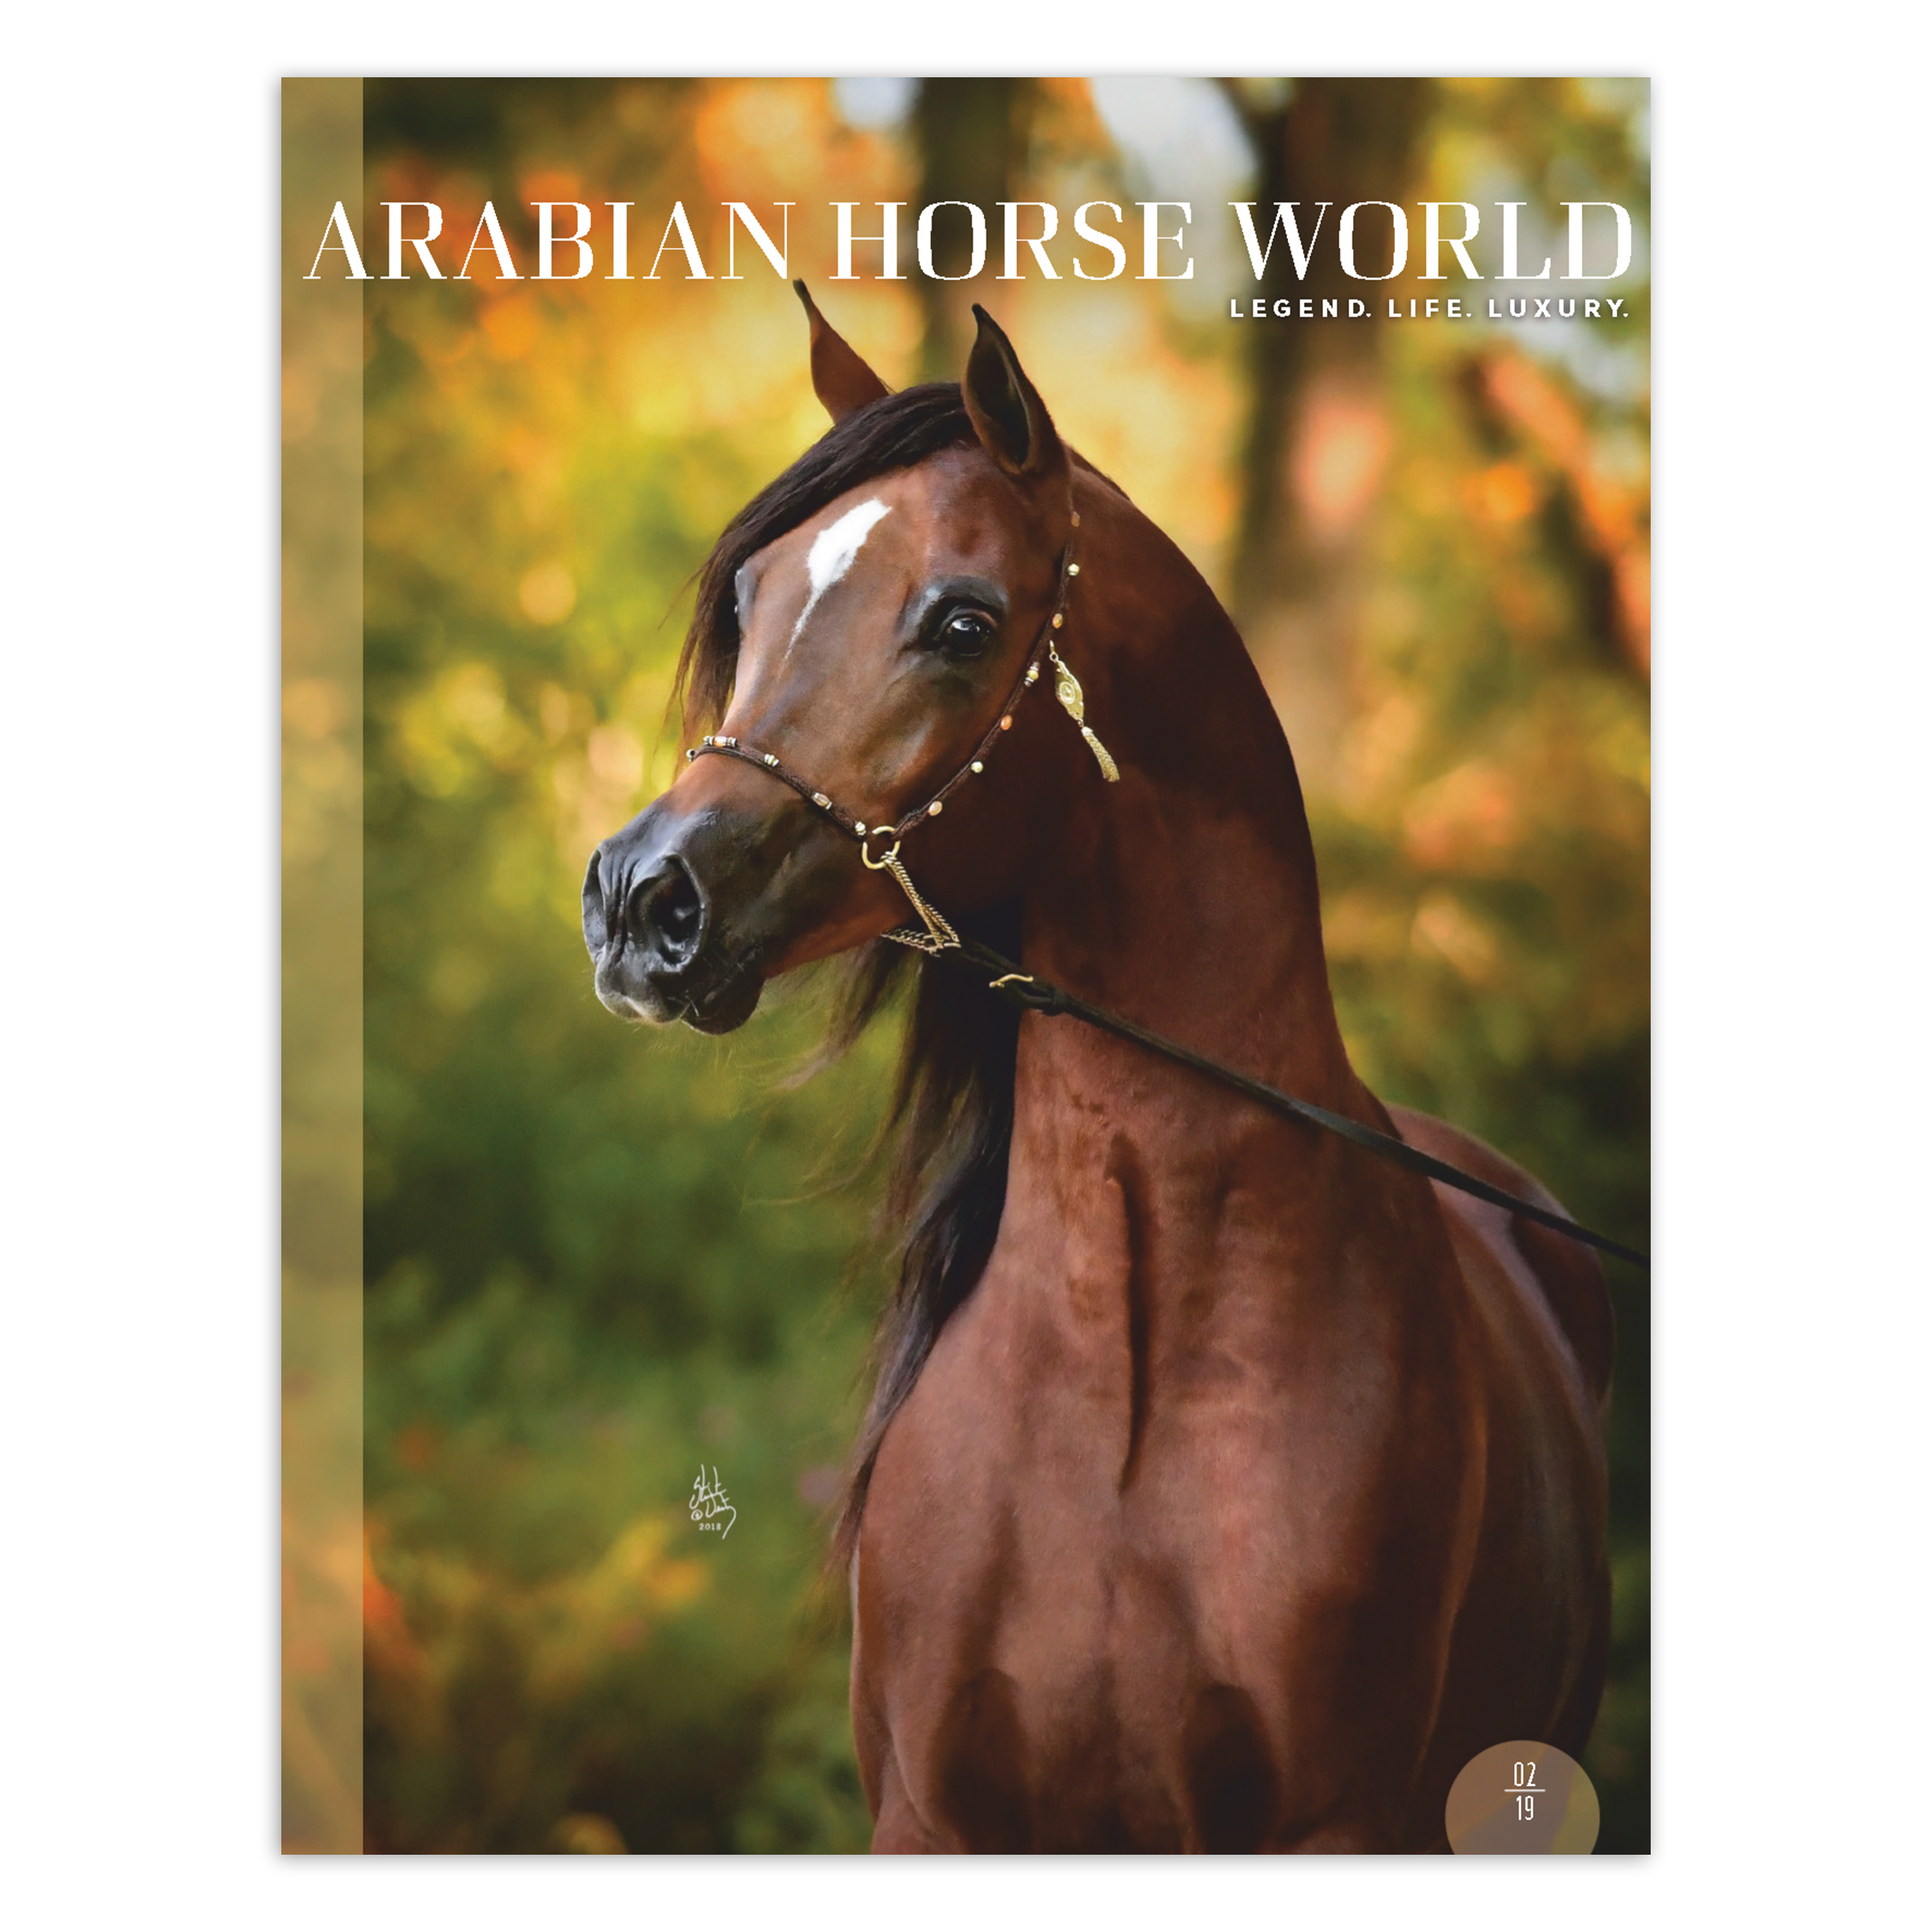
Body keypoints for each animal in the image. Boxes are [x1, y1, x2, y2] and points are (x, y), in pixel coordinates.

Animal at [582, 285, 1614, 1853]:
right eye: (750, 601)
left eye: (963, 621)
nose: (643, 899)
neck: (1125, 1378)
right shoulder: (931, 1819)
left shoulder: (1333, 1828)